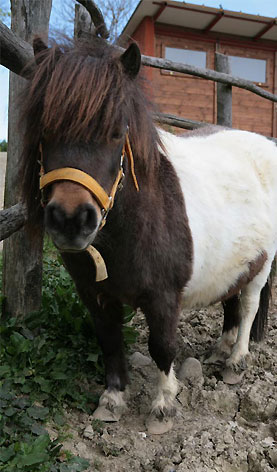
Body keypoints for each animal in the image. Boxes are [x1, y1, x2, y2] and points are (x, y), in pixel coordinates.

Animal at [20, 37, 276, 434]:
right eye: (44, 130)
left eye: (116, 131)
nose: (71, 220)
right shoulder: (94, 294)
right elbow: (109, 341)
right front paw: (112, 400)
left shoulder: (163, 297)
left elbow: (162, 347)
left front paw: (163, 406)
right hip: (236, 262)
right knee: (231, 302)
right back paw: (220, 350)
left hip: (262, 265)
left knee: (248, 306)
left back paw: (235, 363)